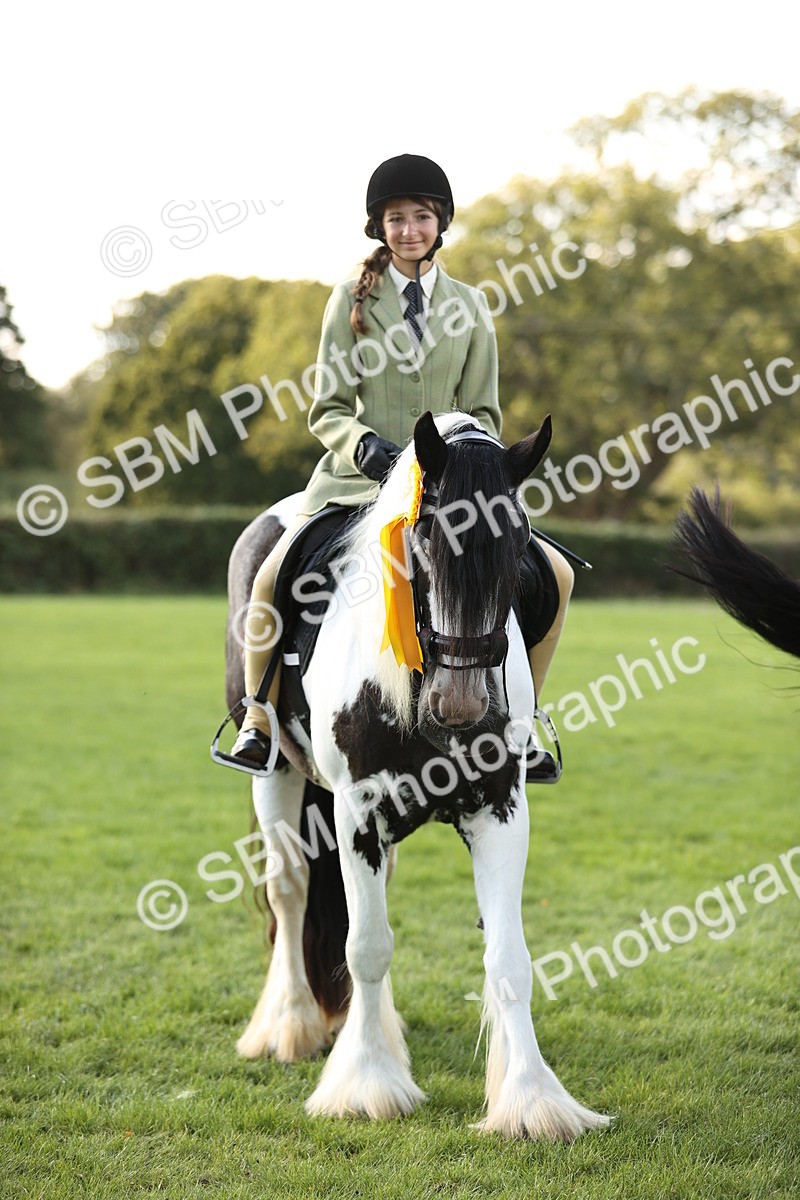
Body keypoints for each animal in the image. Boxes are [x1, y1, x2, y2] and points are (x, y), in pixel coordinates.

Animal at [221, 409, 610, 1140]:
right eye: (425, 535)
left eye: (520, 538)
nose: (461, 704)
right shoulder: (356, 811)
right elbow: (366, 944)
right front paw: (367, 1085)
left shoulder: (500, 807)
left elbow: (508, 957)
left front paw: (532, 1099)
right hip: (277, 778)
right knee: (290, 893)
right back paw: (289, 1026)